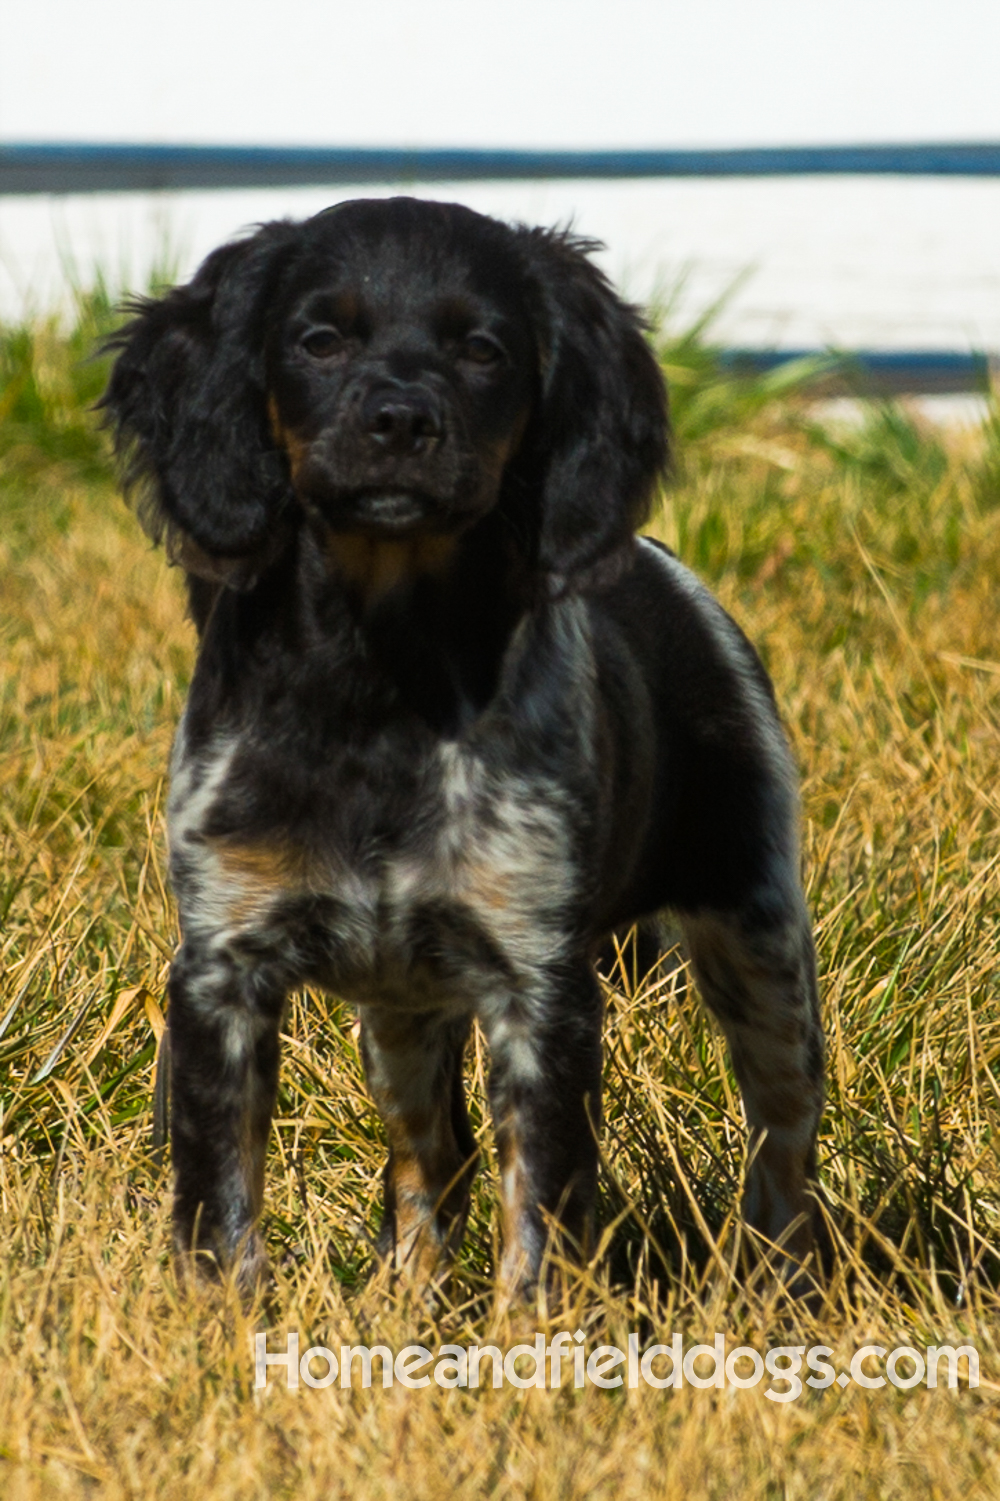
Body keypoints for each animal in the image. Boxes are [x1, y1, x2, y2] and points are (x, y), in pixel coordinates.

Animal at [101, 199, 822, 1296]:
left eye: (484, 351)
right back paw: (407, 1298)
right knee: (429, 1156)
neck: (379, 679)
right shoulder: (221, 965)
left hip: (761, 937)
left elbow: (541, 1213)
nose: (401, 421)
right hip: (399, 1013)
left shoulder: (541, 986)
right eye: (320, 339)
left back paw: (780, 1282)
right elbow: (220, 1201)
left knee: (783, 1139)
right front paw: (225, 1319)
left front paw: (529, 1330)